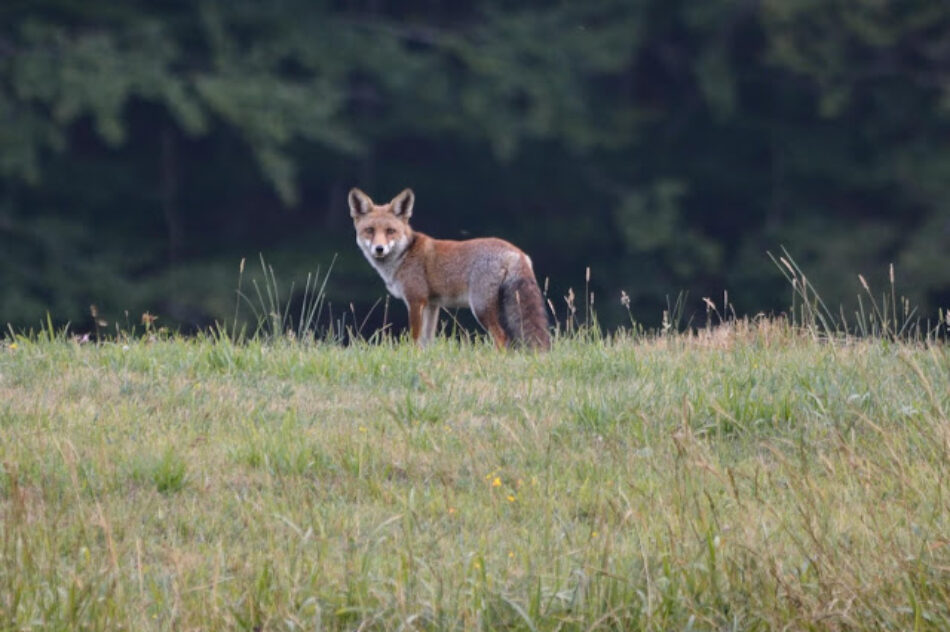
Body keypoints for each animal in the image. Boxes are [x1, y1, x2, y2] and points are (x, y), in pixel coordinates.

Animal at [352, 188, 556, 350]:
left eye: (390, 231)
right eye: (370, 230)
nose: (379, 249)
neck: (404, 255)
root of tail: (516, 251)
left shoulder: (416, 300)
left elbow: (415, 339)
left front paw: (411, 357)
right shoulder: (432, 305)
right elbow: (426, 341)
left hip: (480, 307)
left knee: (501, 337)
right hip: (504, 308)